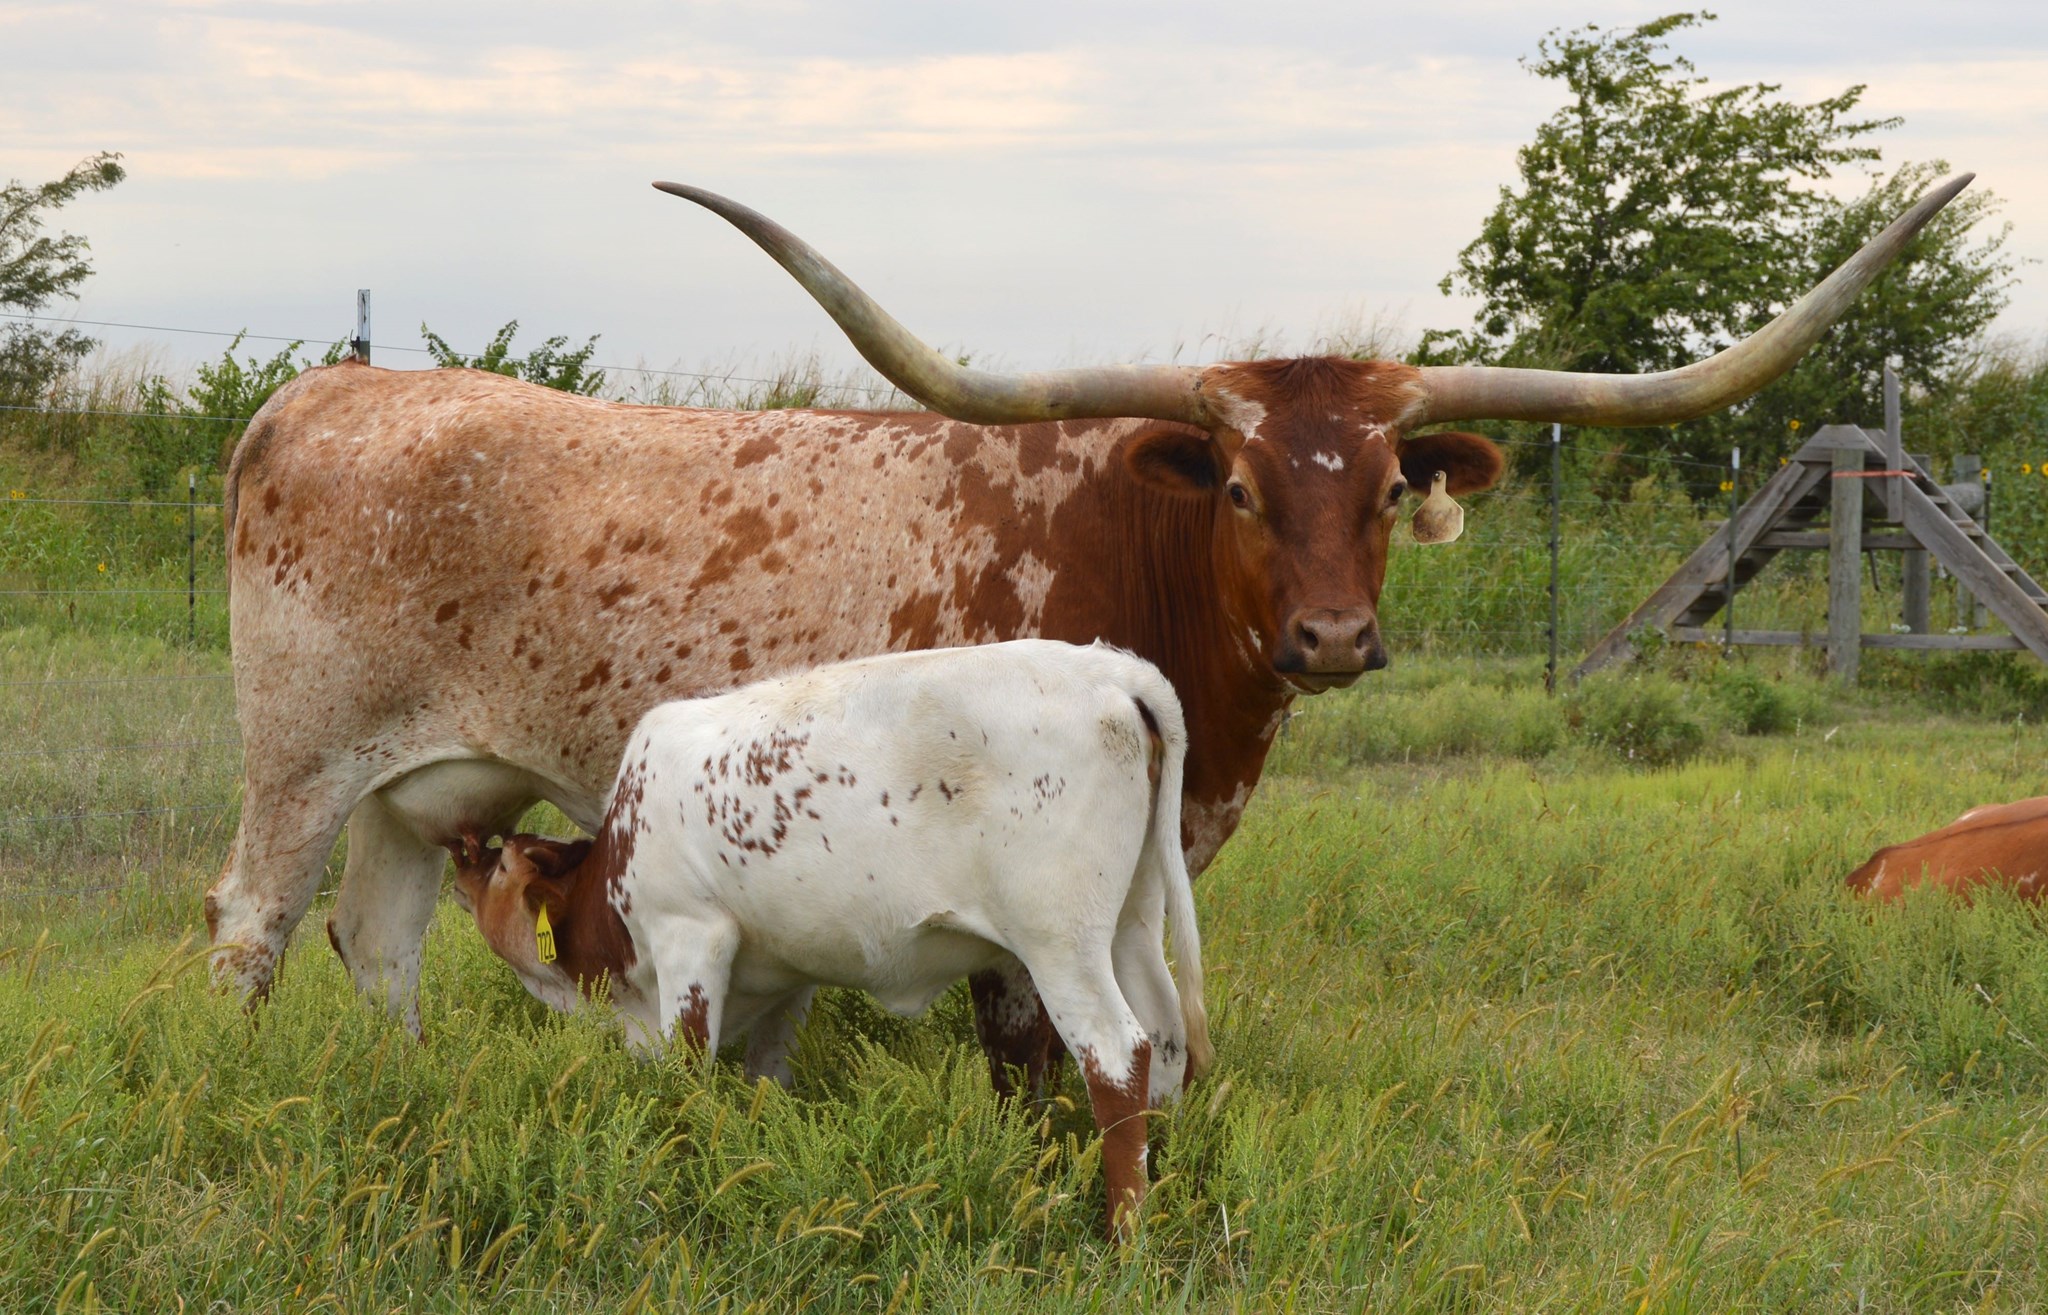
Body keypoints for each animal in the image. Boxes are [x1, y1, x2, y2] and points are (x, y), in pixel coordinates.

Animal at [204, 172, 1971, 1093]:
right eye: (1245, 485)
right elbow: (1030, 1036)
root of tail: (325, 394)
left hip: (431, 781)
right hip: (297, 757)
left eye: (1388, 486)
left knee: (382, 937)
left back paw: (401, 1082)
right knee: (253, 924)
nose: (1335, 637)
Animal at [445, 639, 1210, 1236]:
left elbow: (686, 1076)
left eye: (502, 864)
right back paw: (1169, 1170)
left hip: (1059, 939)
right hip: (1132, 921)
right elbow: (765, 1079)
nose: (462, 846)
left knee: (1117, 1053)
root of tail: (1112, 669)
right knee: (1166, 1037)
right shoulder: (787, 972)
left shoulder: (689, 936)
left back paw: (1124, 1233)